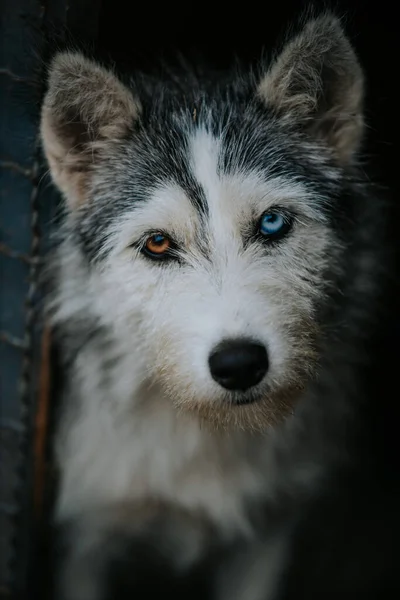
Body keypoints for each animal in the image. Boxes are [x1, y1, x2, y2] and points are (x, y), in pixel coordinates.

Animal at [39, 9, 384, 600]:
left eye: (272, 223)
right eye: (157, 244)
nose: (239, 364)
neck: (205, 426)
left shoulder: (267, 537)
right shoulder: (80, 547)